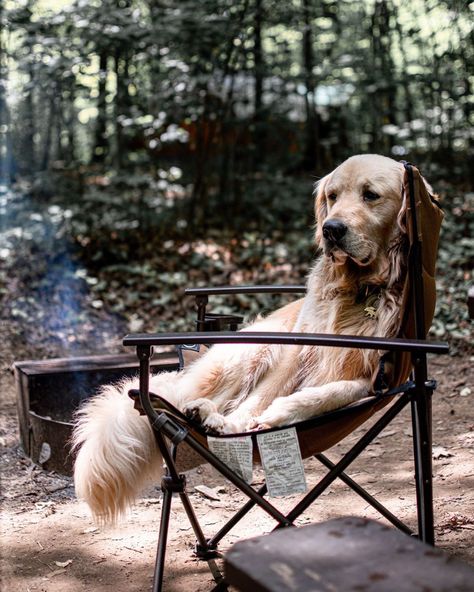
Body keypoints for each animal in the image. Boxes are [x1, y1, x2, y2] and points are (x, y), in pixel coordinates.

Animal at [71, 154, 422, 524]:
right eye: (332, 196)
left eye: (370, 195)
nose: (331, 229)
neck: (357, 289)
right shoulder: (294, 355)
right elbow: (260, 398)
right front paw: (236, 424)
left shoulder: (374, 377)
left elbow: (327, 393)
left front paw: (282, 412)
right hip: (252, 350)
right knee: (207, 396)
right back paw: (204, 411)